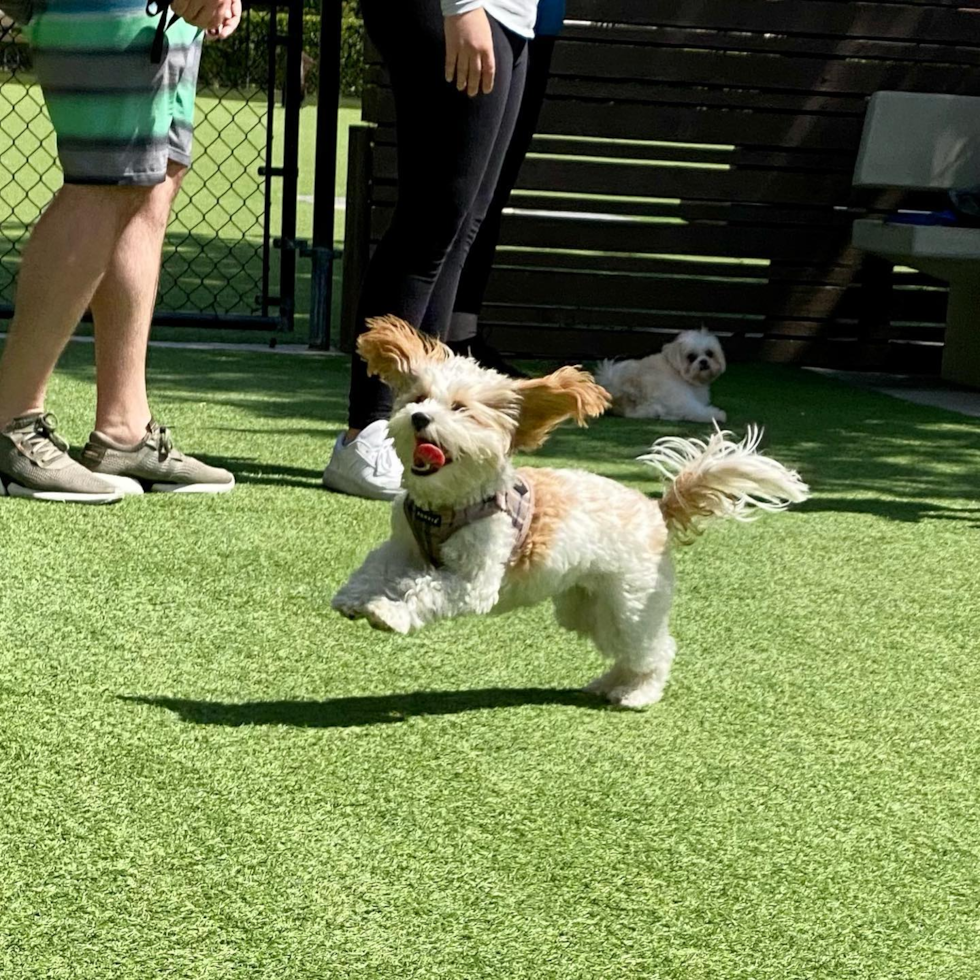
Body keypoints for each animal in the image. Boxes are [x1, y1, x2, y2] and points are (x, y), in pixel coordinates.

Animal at [596, 328, 728, 424]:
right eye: (691, 357)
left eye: (709, 353)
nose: (704, 362)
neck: (678, 372)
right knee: (691, 410)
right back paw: (715, 415)